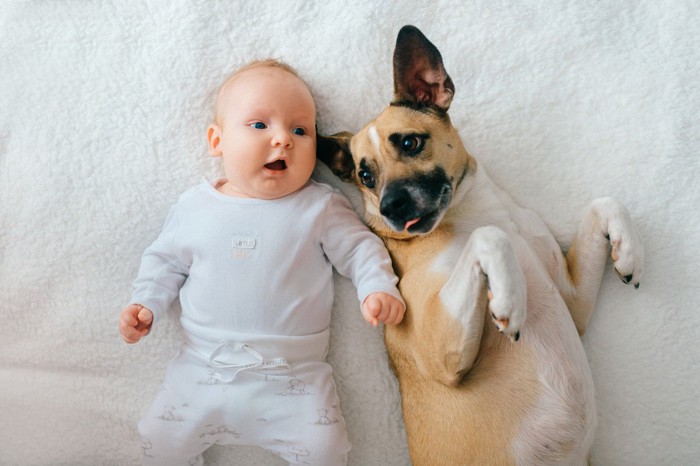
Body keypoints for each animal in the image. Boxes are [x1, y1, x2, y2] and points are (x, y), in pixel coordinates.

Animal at [318, 26, 644, 466]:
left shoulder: (574, 301)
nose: (390, 207)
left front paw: (628, 248)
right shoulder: (439, 355)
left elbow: (604, 202)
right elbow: (489, 236)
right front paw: (509, 296)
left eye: (409, 143)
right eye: (365, 175)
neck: (471, 208)